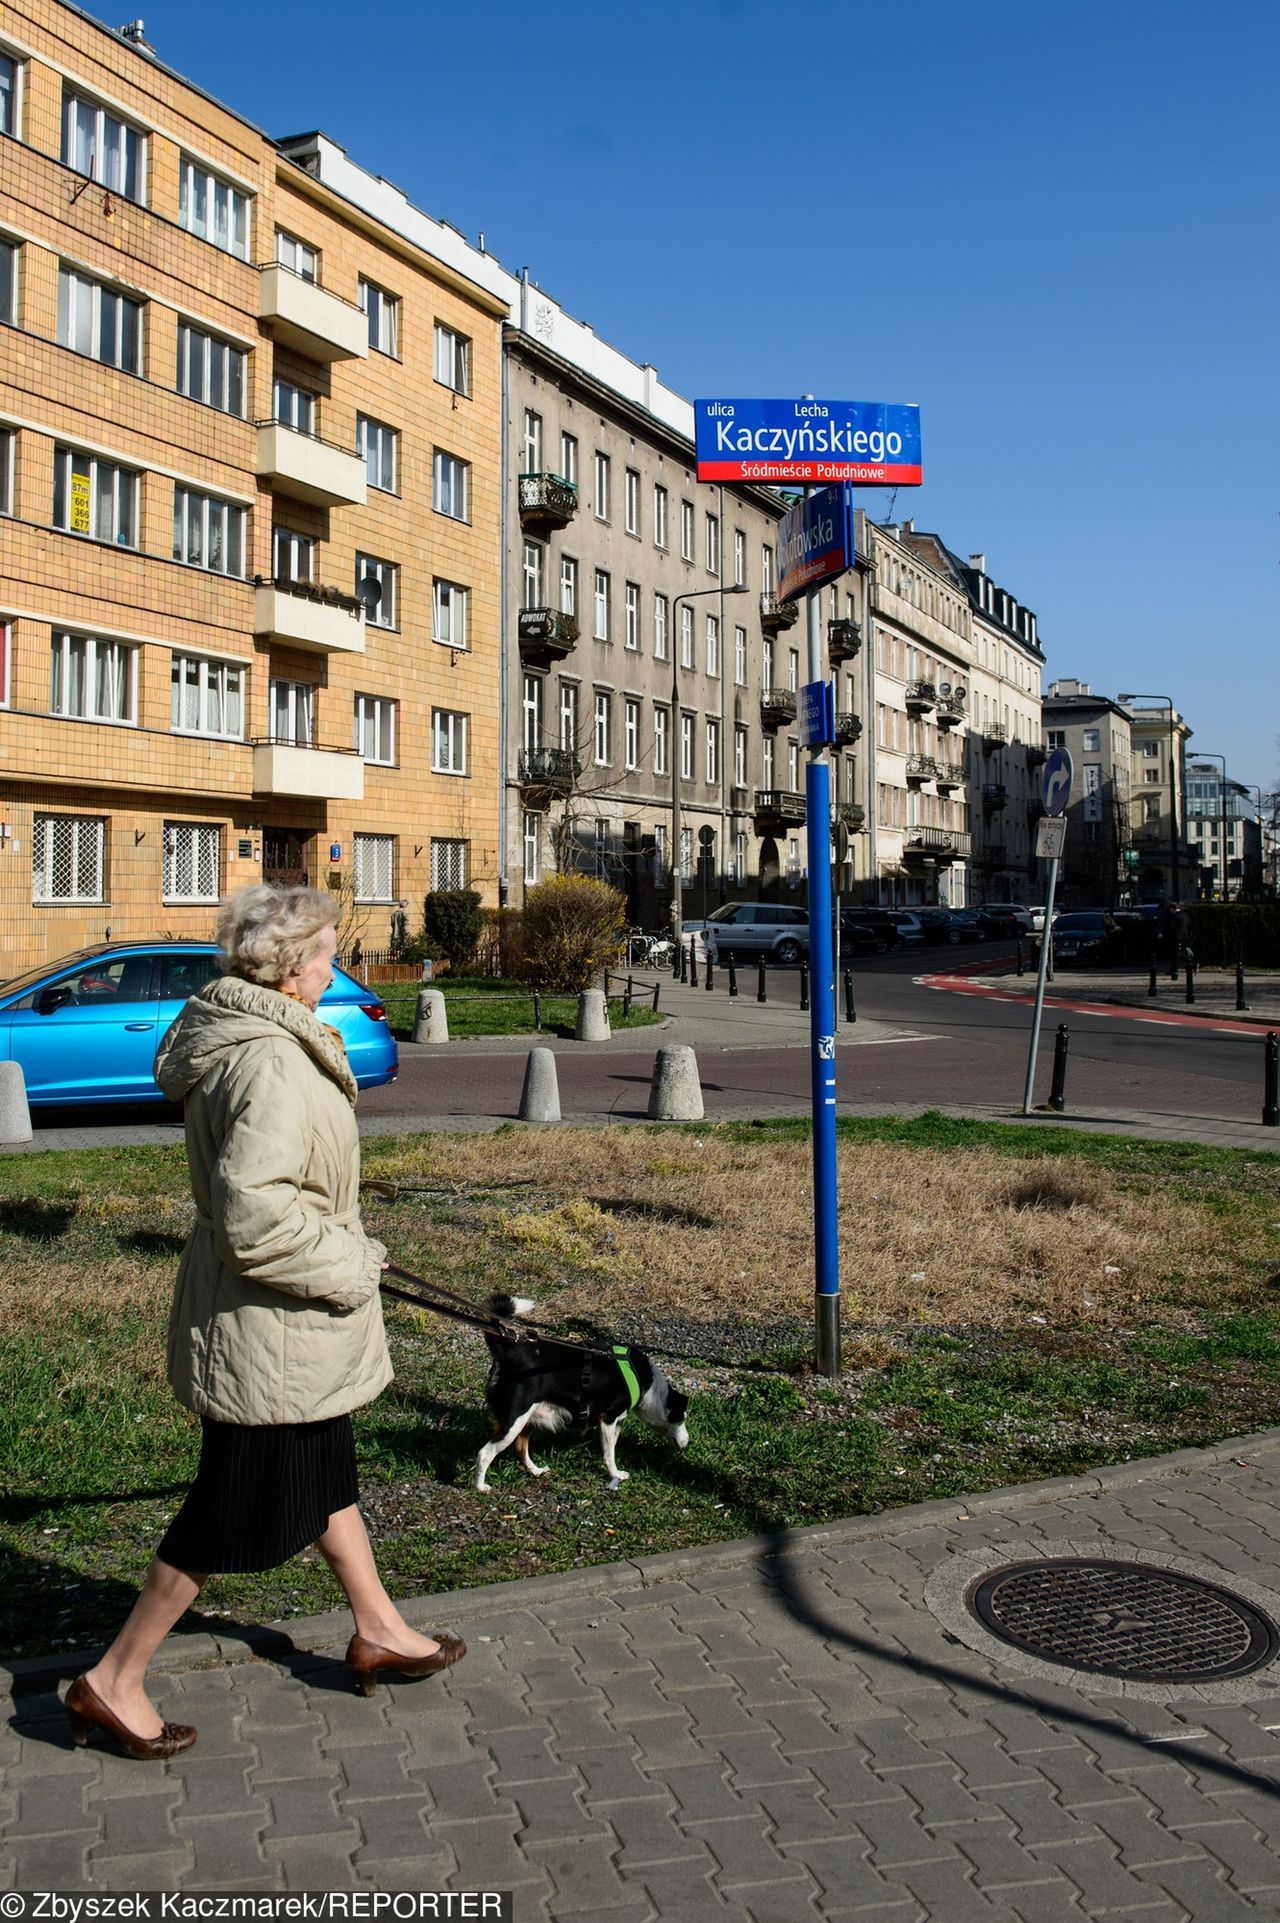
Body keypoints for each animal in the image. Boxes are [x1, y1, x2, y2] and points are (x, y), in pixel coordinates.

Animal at [472, 1299, 688, 1492]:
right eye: (681, 1418)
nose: (688, 1442)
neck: (649, 1385)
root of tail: (508, 1349)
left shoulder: (617, 1421)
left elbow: (612, 1447)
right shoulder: (608, 1419)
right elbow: (609, 1454)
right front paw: (614, 1475)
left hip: (527, 1418)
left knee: (520, 1448)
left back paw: (536, 1471)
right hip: (514, 1419)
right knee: (485, 1453)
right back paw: (480, 1487)